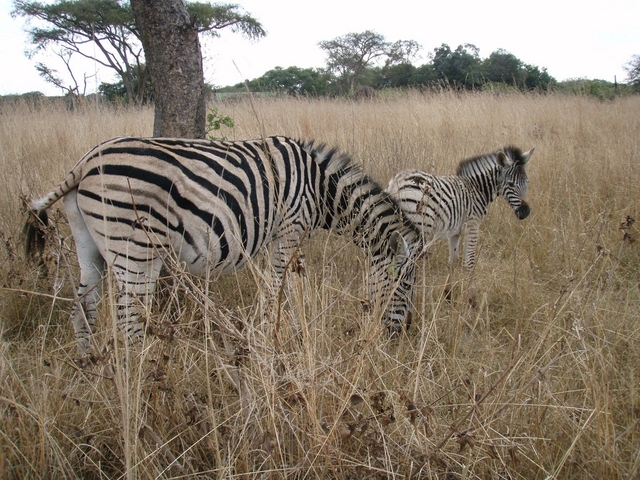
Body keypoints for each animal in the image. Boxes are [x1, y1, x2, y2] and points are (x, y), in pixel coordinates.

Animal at [25, 135, 422, 356]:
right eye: (406, 285)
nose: (401, 335)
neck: (321, 188)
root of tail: (85, 162)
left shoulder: (285, 236)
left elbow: (288, 287)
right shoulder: (290, 229)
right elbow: (281, 289)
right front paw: (276, 338)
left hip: (89, 245)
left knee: (82, 309)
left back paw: (90, 370)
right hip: (135, 249)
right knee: (129, 320)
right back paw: (141, 378)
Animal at [388, 146, 532, 298]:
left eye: (527, 182)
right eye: (510, 184)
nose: (525, 211)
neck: (477, 189)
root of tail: (397, 183)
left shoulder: (454, 232)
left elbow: (453, 260)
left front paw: (448, 293)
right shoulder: (472, 226)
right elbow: (470, 262)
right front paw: (472, 297)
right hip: (419, 227)